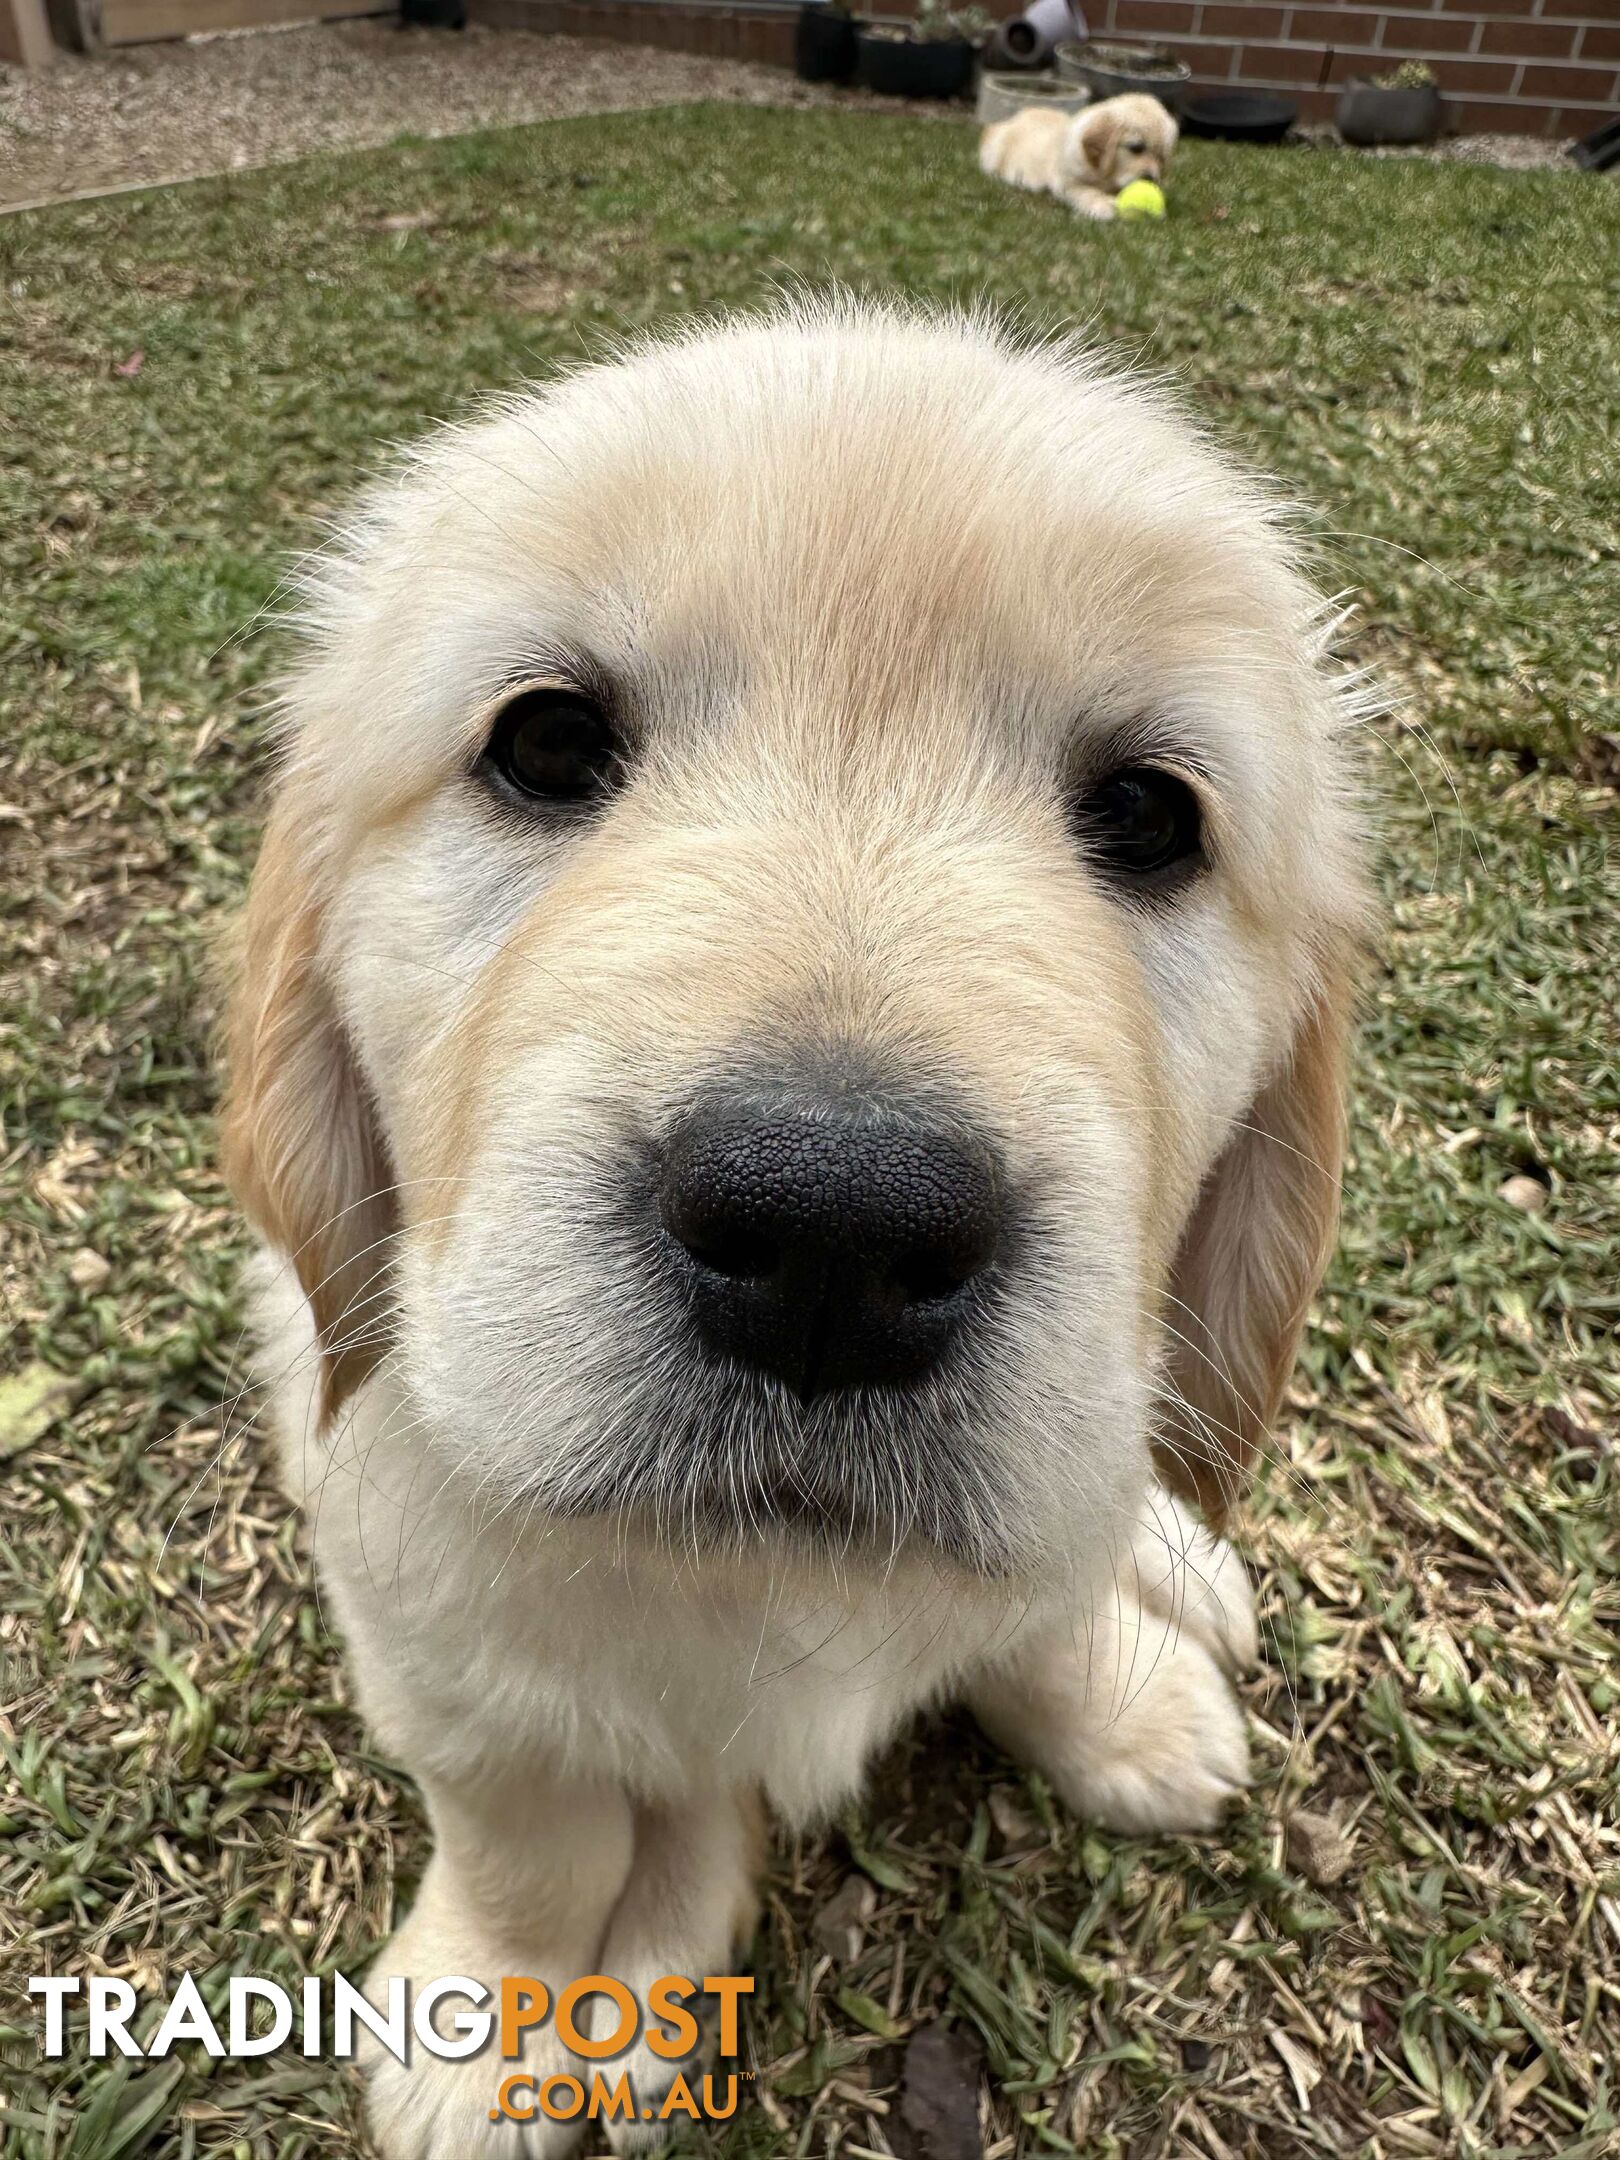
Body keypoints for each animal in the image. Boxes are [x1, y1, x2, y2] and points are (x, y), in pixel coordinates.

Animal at [225, 295, 1373, 2151]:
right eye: (547, 743)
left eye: (1148, 814)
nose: (838, 1237)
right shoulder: (440, 1658)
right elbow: (532, 1846)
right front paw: (490, 2022)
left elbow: (1037, 1611)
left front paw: (1117, 1706)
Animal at [984, 90, 1183, 219]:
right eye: (1136, 148)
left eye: (1161, 157)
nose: (1151, 179)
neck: (1106, 176)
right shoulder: (1069, 182)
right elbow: (1086, 191)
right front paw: (1102, 205)